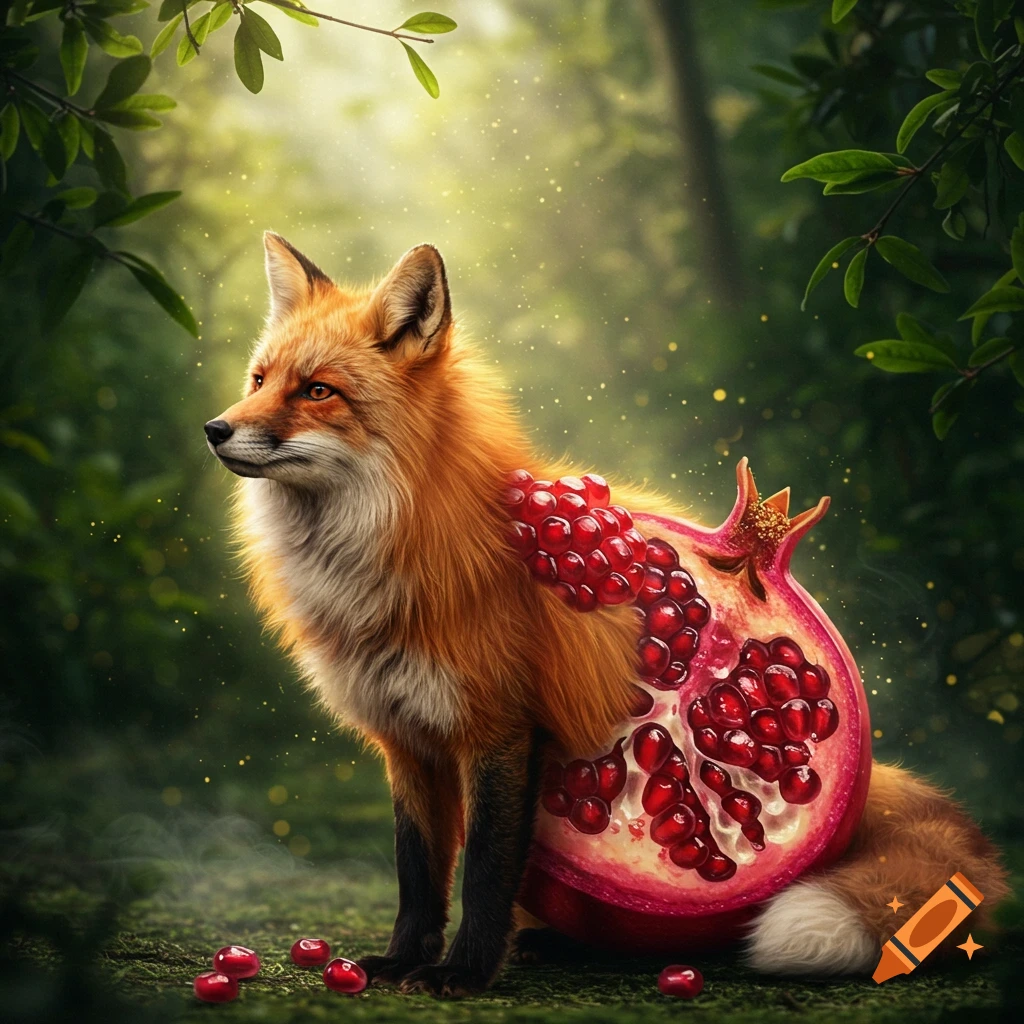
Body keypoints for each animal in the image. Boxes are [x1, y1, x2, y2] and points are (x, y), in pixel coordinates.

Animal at [205, 233, 1008, 997]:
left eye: (317, 391)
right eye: (259, 380)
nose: (215, 429)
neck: (384, 556)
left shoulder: (499, 729)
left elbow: (483, 869)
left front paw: (464, 972)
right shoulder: (406, 740)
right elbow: (417, 872)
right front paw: (402, 959)